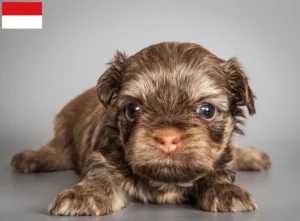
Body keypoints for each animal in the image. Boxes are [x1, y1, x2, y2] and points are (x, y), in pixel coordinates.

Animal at [10, 41, 270, 216]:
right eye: (133, 109)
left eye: (207, 110)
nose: (168, 138)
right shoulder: (103, 158)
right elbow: (100, 176)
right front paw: (85, 194)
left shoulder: (221, 157)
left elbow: (219, 170)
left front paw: (225, 190)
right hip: (64, 128)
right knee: (57, 150)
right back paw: (31, 157)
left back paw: (254, 156)